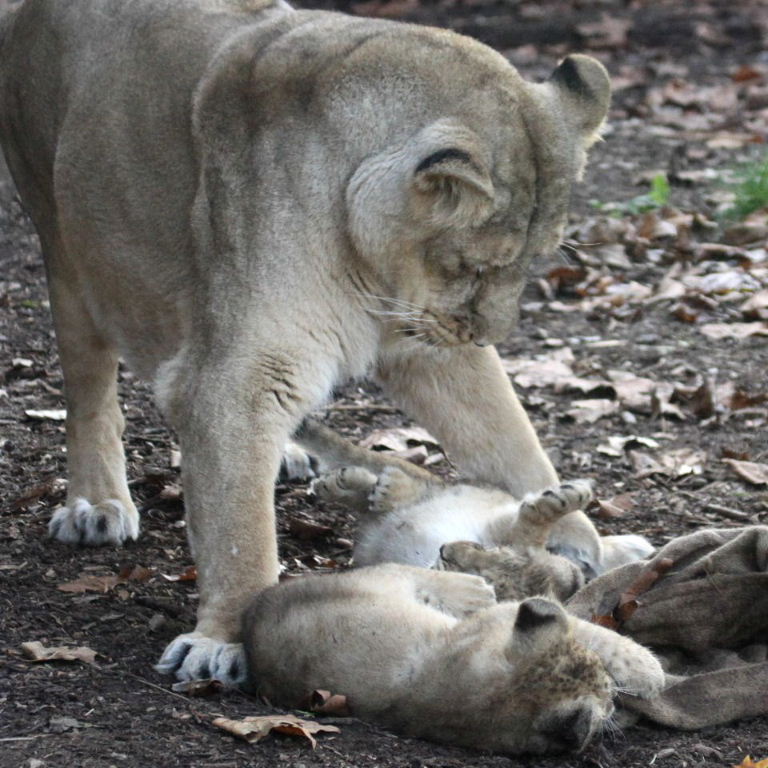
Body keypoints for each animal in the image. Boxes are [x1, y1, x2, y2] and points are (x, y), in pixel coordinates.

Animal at [0, 0, 610, 683]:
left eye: (532, 263)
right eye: (472, 267)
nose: (487, 333)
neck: (368, 262)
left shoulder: (428, 343)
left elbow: (512, 439)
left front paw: (578, 537)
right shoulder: (239, 375)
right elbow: (239, 529)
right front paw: (223, 638)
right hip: (64, 245)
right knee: (90, 390)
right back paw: (98, 502)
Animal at [242, 564, 666, 754]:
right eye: (603, 681)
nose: (612, 696)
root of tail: (255, 610)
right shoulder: (500, 618)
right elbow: (588, 627)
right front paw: (648, 670)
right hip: (383, 579)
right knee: (418, 573)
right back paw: (474, 587)